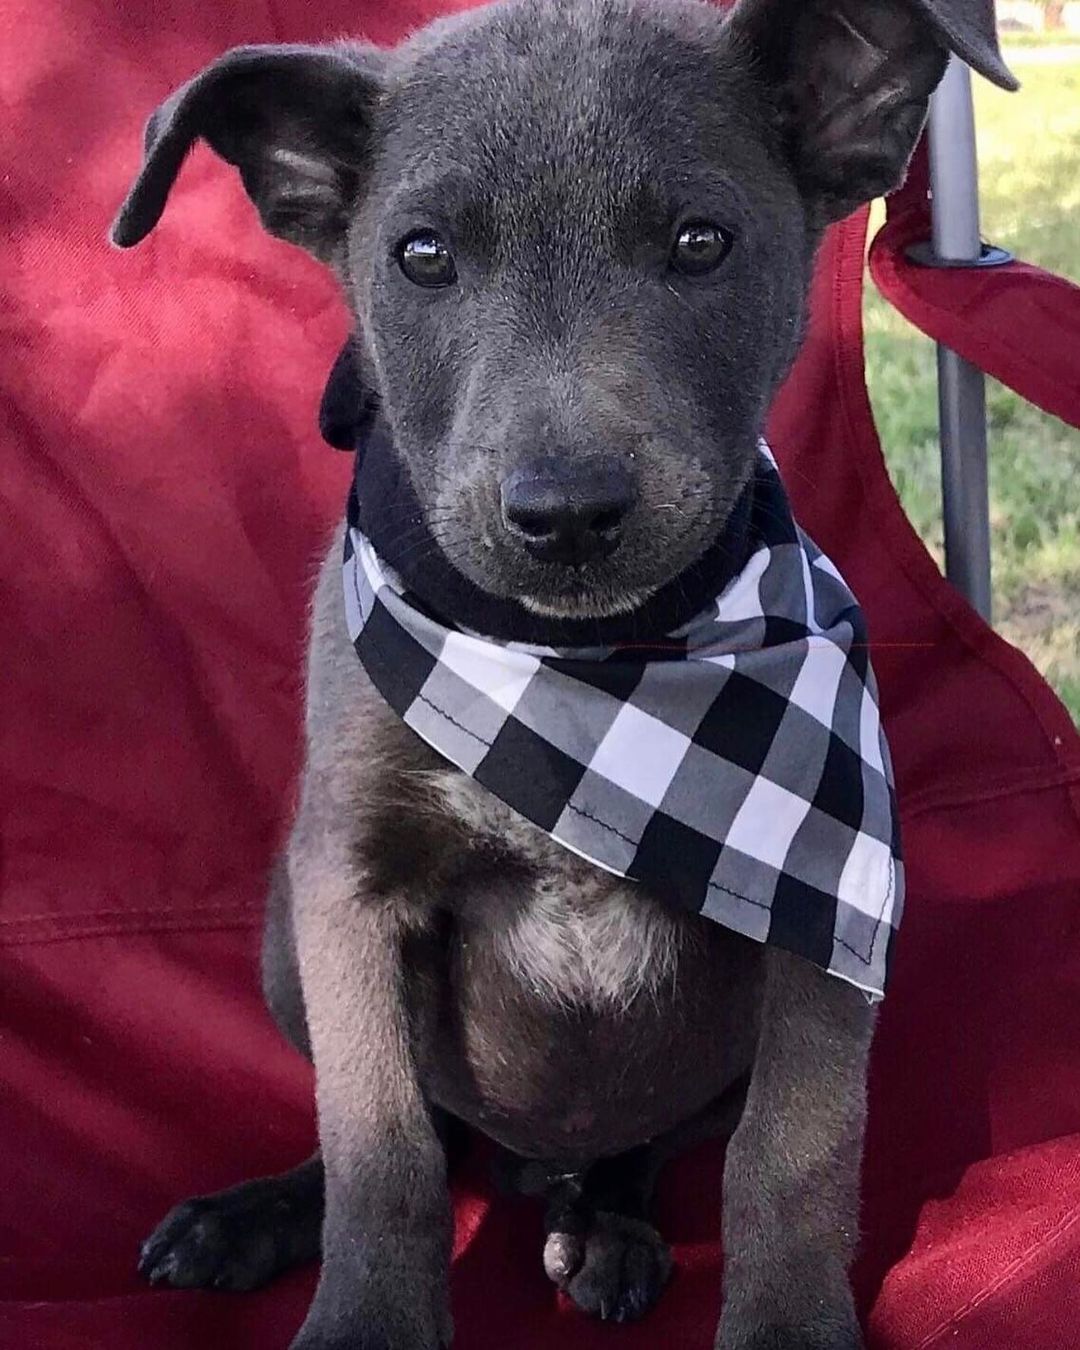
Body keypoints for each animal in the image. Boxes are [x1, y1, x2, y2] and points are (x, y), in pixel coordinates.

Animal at [114, 2, 1015, 1350]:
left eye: (702, 242)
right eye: (422, 255)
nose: (569, 515)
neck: (582, 670)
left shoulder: (820, 911)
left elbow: (792, 1158)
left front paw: (786, 1324)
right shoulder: (347, 888)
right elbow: (382, 1148)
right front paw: (363, 1313)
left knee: (638, 1148)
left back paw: (607, 1227)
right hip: (281, 936)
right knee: (423, 1135)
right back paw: (258, 1214)